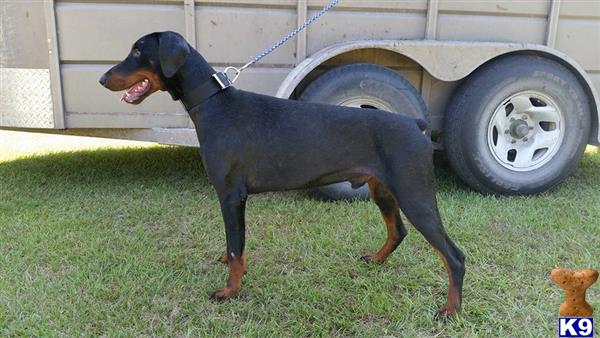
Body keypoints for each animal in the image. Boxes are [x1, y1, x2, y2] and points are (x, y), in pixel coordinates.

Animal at [99, 30, 464, 318]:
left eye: (137, 51)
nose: (102, 79)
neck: (214, 105)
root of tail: (416, 124)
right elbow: (234, 246)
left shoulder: (231, 195)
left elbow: (237, 250)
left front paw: (230, 292)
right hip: (384, 190)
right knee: (397, 232)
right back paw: (376, 260)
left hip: (415, 194)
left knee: (454, 256)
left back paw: (450, 310)